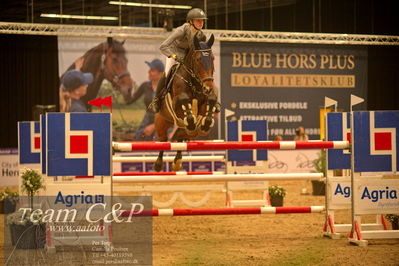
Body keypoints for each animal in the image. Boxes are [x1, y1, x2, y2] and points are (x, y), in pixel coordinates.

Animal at [155, 33, 219, 171]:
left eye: (213, 59)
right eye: (198, 59)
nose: (208, 88)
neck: (194, 82)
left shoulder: (205, 101)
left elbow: (210, 102)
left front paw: (205, 125)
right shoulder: (177, 104)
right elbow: (185, 104)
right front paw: (191, 122)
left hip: (187, 132)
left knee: (181, 137)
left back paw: (177, 161)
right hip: (161, 122)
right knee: (163, 140)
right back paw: (158, 164)